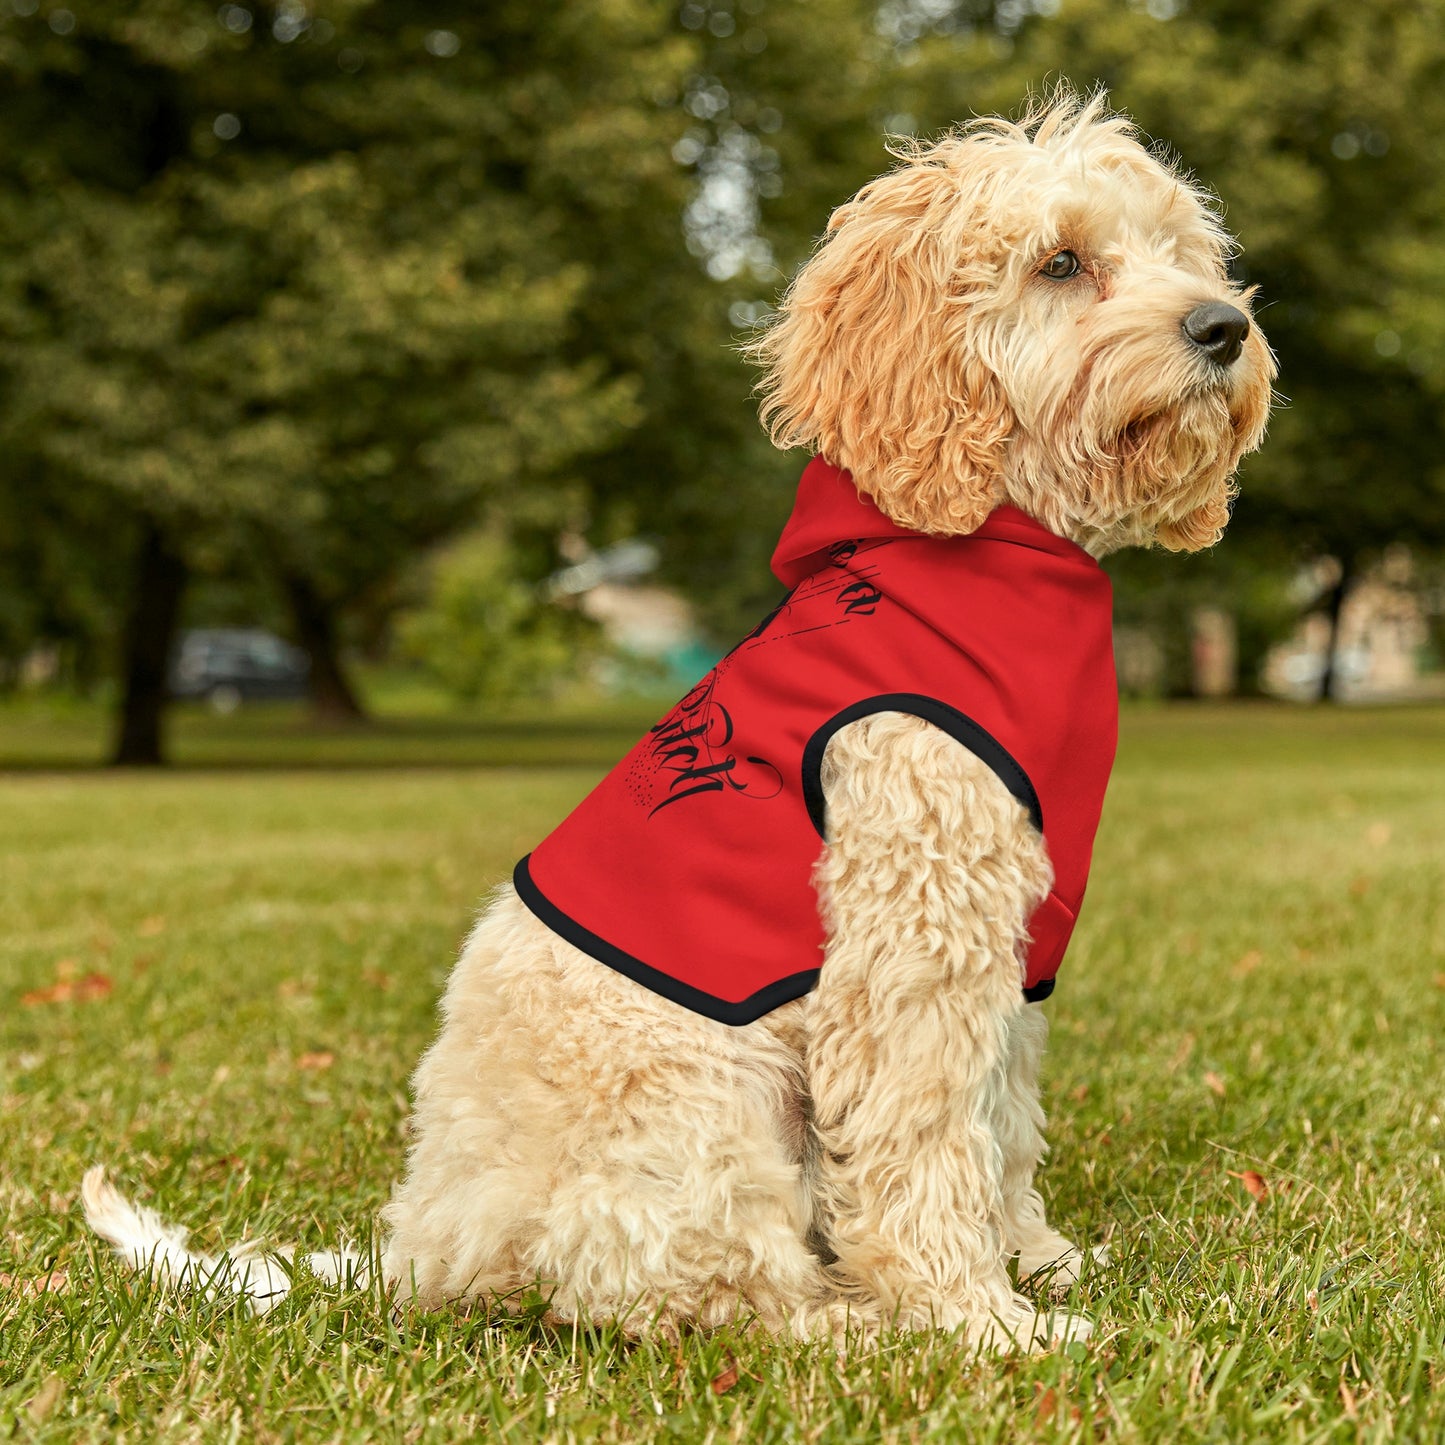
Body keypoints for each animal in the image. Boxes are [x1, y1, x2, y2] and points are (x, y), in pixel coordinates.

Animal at [84, 93, 1271, 1352]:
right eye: (1059, 262)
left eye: (1180, 252)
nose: (1222, 327)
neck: (984, 550)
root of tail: (424, 1246)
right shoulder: (912, 937)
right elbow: (924, 1140)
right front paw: (977, 1319)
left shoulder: (1011, 945)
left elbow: (999, 1121)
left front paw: (1035, 1260)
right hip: (704, 1103)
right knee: (700, 1291)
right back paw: (852, 1323)